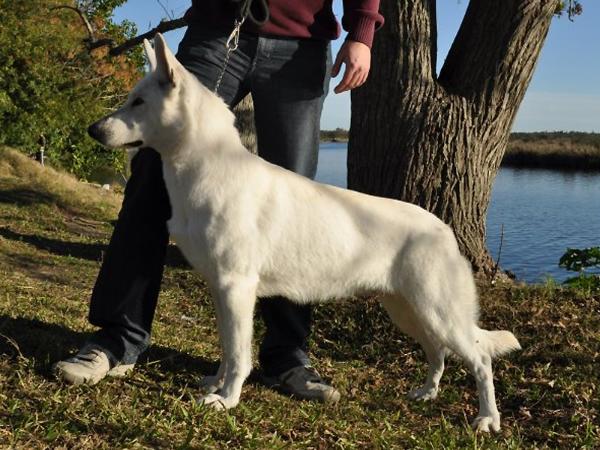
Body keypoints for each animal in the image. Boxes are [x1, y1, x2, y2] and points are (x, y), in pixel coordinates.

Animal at [88, 33, 520, 430]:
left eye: (139, 102)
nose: (93, 129)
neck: (206, 166)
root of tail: (444, 229)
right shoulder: (221, 289)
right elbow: (227, 348)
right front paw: (216, 384)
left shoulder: (236, 287)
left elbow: (239, 354)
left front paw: (227, 400)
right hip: (407, 309)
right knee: (438, 352)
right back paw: (427, 392)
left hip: (437, 310)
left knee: (480, 359)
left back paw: (487, 419)